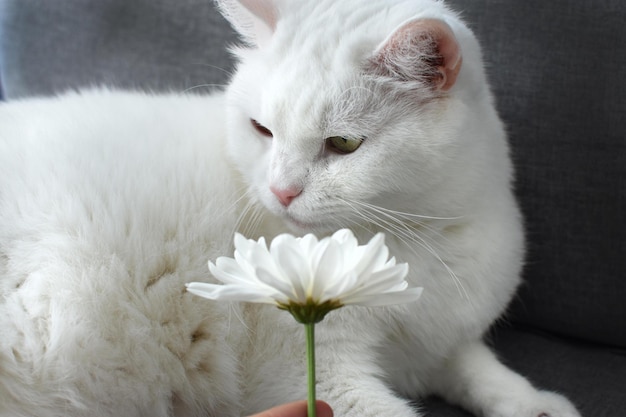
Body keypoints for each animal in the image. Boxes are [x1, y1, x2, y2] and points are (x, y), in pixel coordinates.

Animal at [0, 0, 580, 416]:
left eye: (343, 144)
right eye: (262, 129)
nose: (280, 191)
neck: (415, 241)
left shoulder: (437, 347)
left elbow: (478, 368)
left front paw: (535, 404)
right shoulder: (318, 378)